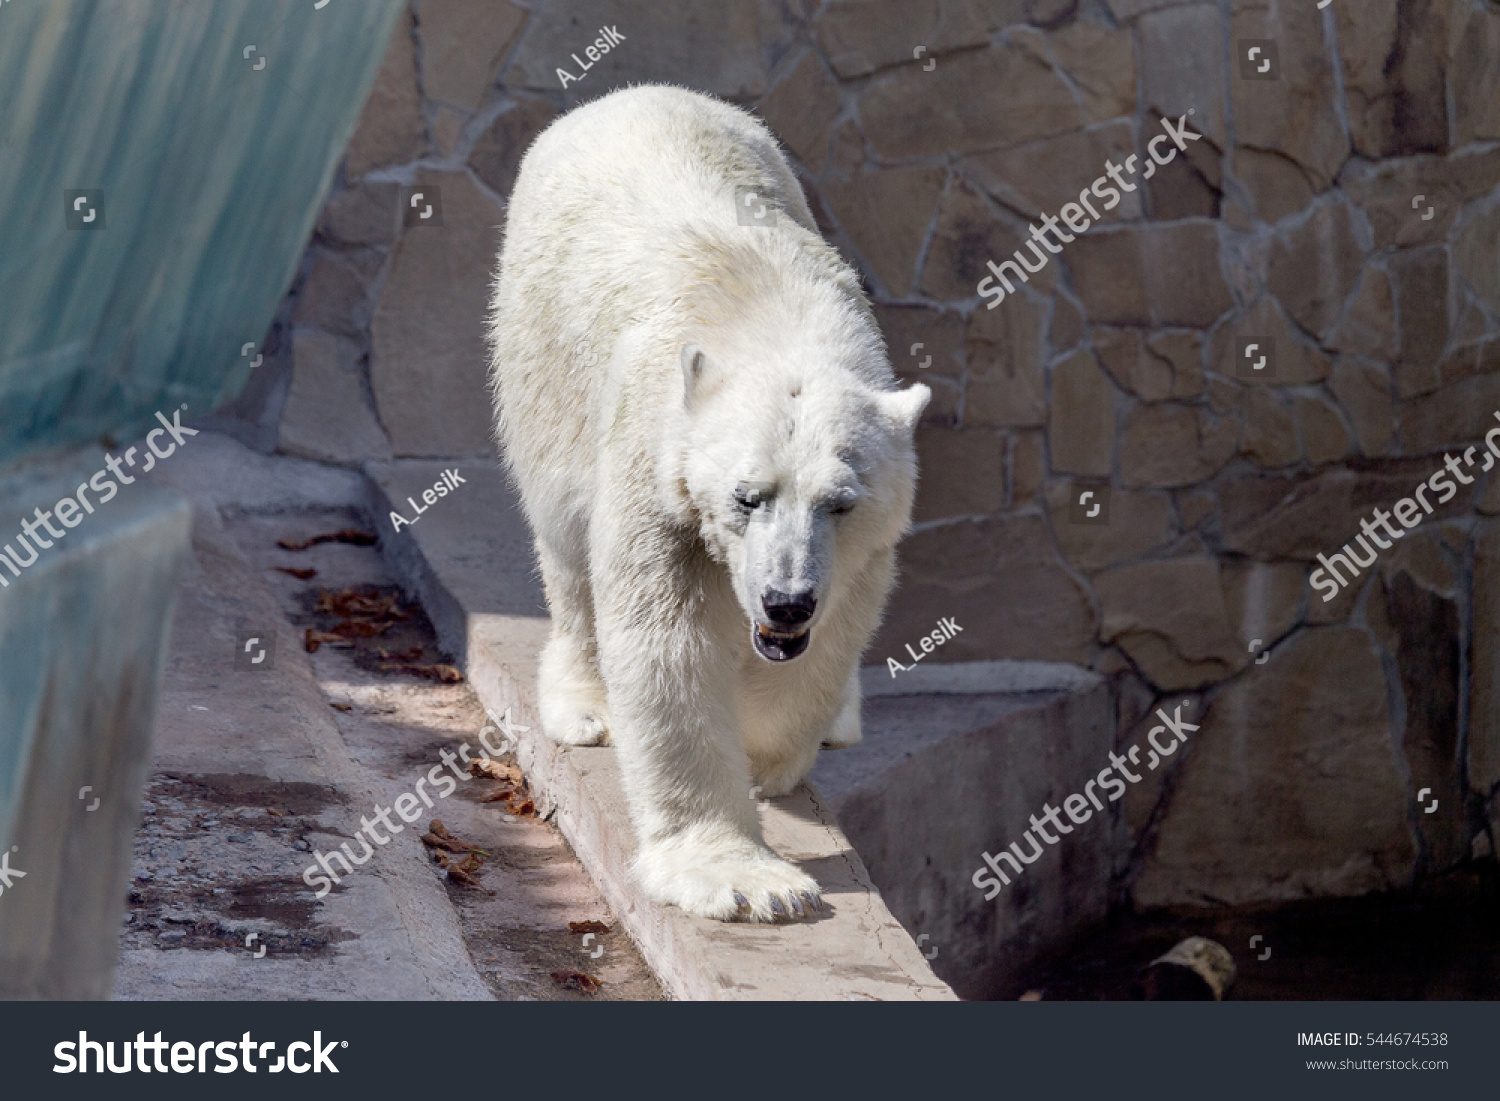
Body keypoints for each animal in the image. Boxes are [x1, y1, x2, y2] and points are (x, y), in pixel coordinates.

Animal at [486, 86, 924, 924]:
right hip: (541, 360)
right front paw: (748, 880)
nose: (785, 601)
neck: (773, 316)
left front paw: (770, 751)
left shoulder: (859, 552)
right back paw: (585, 702)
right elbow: (668, 640)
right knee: (565, 540)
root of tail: (625, 95)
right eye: (745, 497)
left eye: (840, 503)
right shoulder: (658, 456)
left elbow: (832, 631)